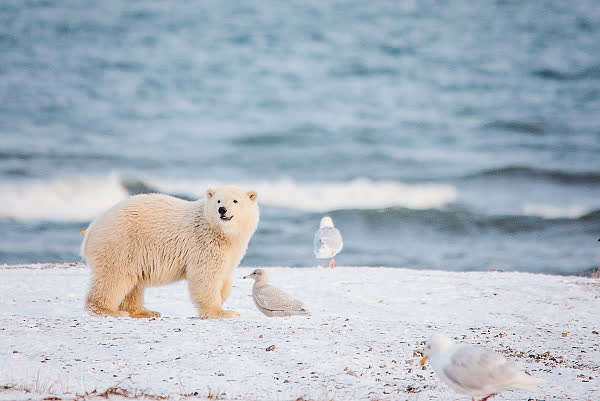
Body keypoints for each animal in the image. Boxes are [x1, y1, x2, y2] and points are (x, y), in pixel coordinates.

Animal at [79, 185, 258, 318]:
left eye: (235, 200)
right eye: (218, 200)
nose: (222, 209)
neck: (221, 233)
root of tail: (91, 229)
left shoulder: (231, 250)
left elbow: (225, 276)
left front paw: (223, 300)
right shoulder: (204, 244)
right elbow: (205, 277)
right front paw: (223, 312)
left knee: (133, 283)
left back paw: (144, 312)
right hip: (120, 243)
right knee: (114, 277)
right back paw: (108, 310)